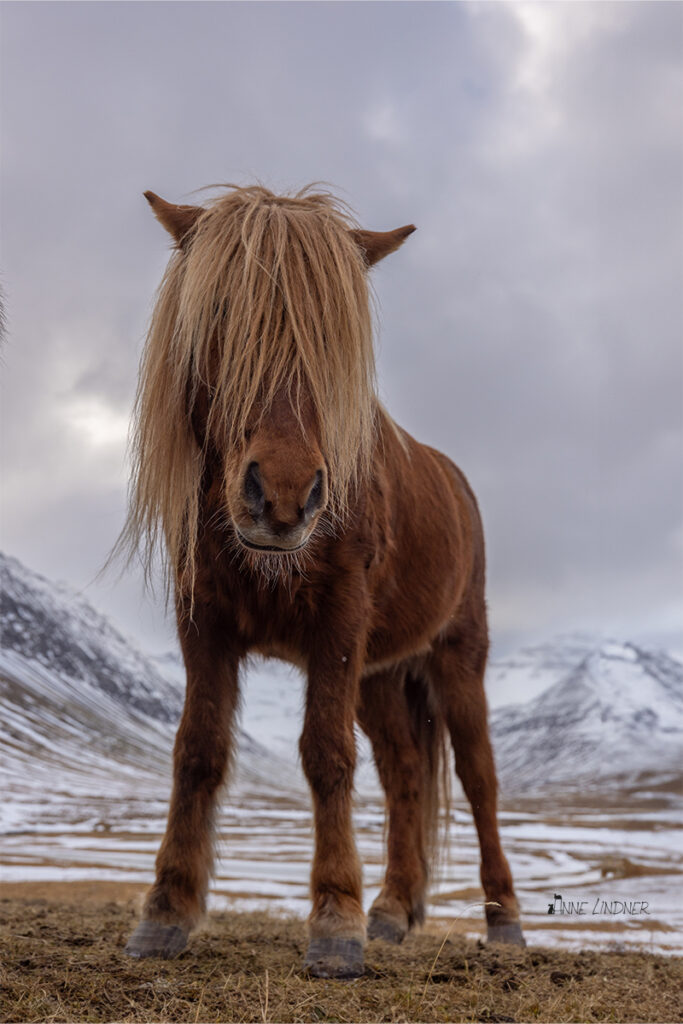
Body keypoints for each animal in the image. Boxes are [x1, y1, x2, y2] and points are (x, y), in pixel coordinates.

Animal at [120, 184, 528, 974]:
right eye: (219, 311)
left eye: (336, 340)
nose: (283, 496)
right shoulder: (203, 620)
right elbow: (198, 750)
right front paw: (165, 911)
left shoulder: (338, 619)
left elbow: (326, 755)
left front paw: (335, 922)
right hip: (380, 676)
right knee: (405, 774)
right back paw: (394, 910)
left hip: (456, 657)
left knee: (477, 778)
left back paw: (503, 920)